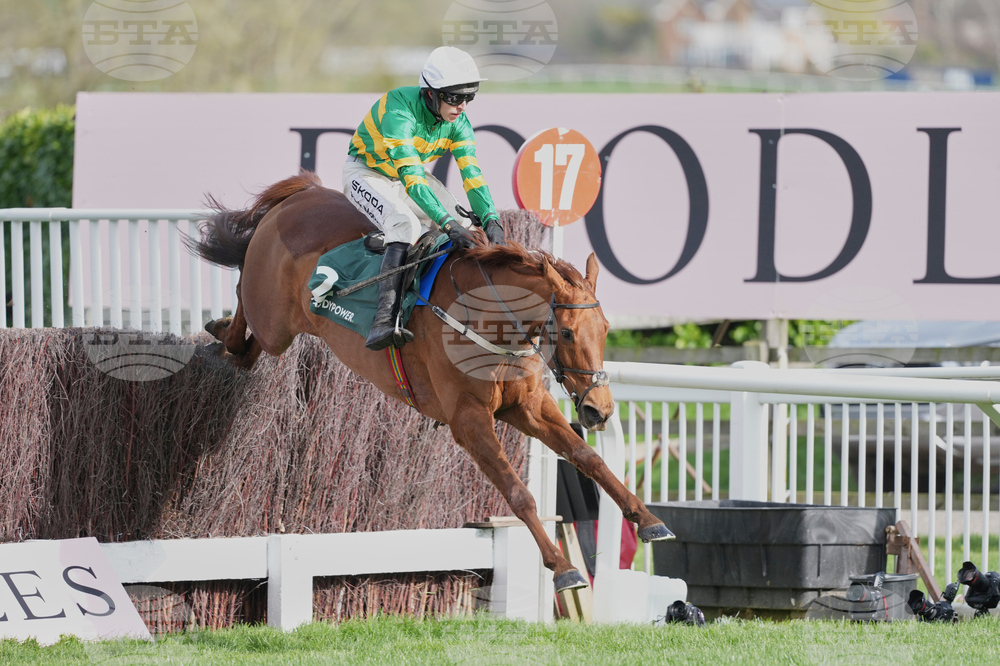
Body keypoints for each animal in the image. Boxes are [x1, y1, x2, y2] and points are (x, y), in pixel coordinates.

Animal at [188, 172, 674, 592]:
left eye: (606, 328)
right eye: (568, 333)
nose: (599, 409)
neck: (490, 317)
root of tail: (298, 196)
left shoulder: (527, 406)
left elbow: (589, 458)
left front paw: (649, 520)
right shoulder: (469, 420)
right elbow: (519, 495)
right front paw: (562, 567)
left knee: (246, 353)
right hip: (273, 320)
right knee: (243, 320)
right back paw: (216, 330)